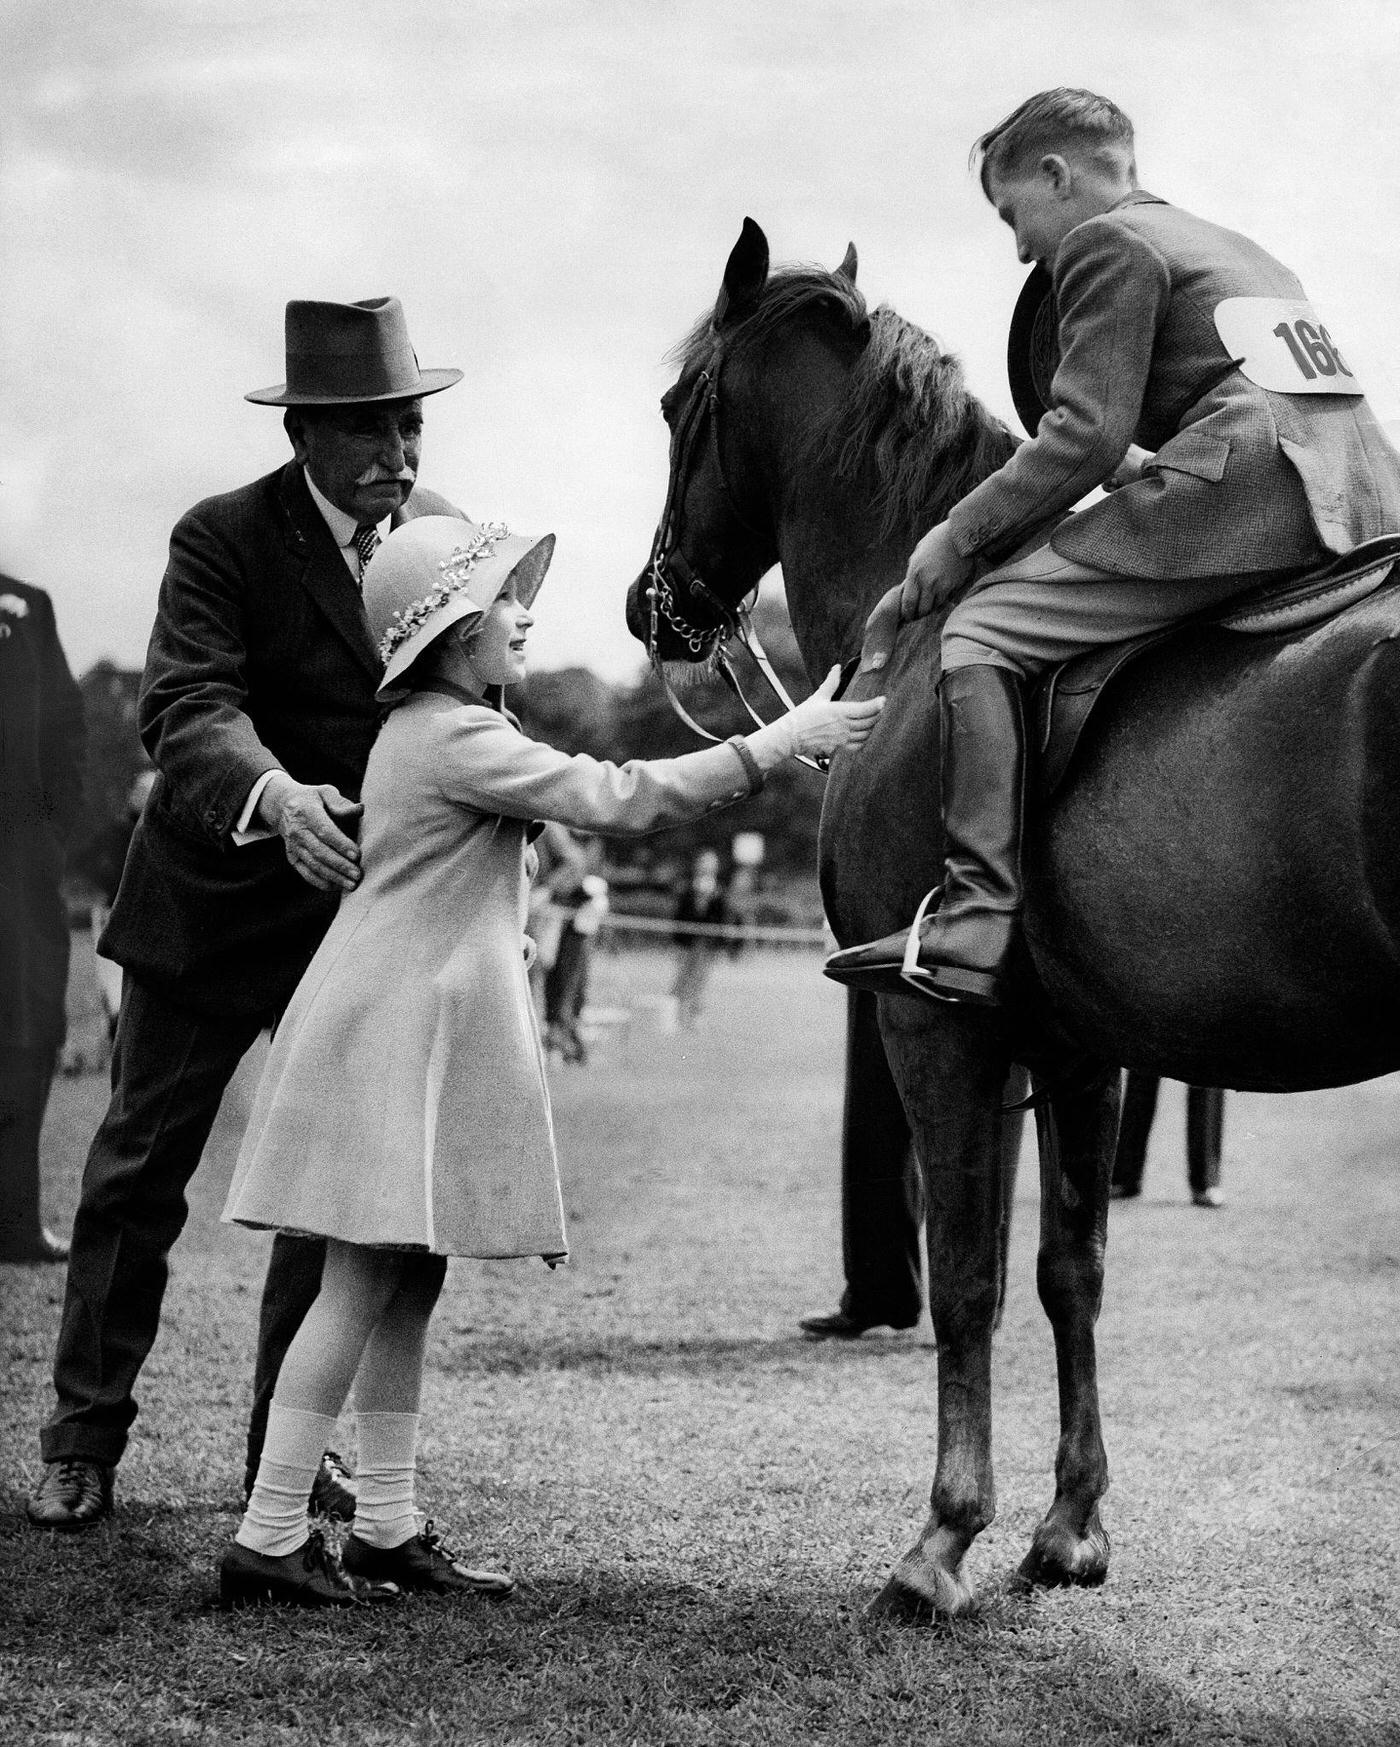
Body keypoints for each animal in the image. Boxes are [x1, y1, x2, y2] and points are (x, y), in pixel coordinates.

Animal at [629, 221, 1398, 1621]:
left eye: (674, 408)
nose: (648, 608)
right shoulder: (1081, 1050)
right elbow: (1068, 1269)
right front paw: (1069, 1525)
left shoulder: (932, 1029)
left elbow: (967, 1278)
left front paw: (940, 1538)